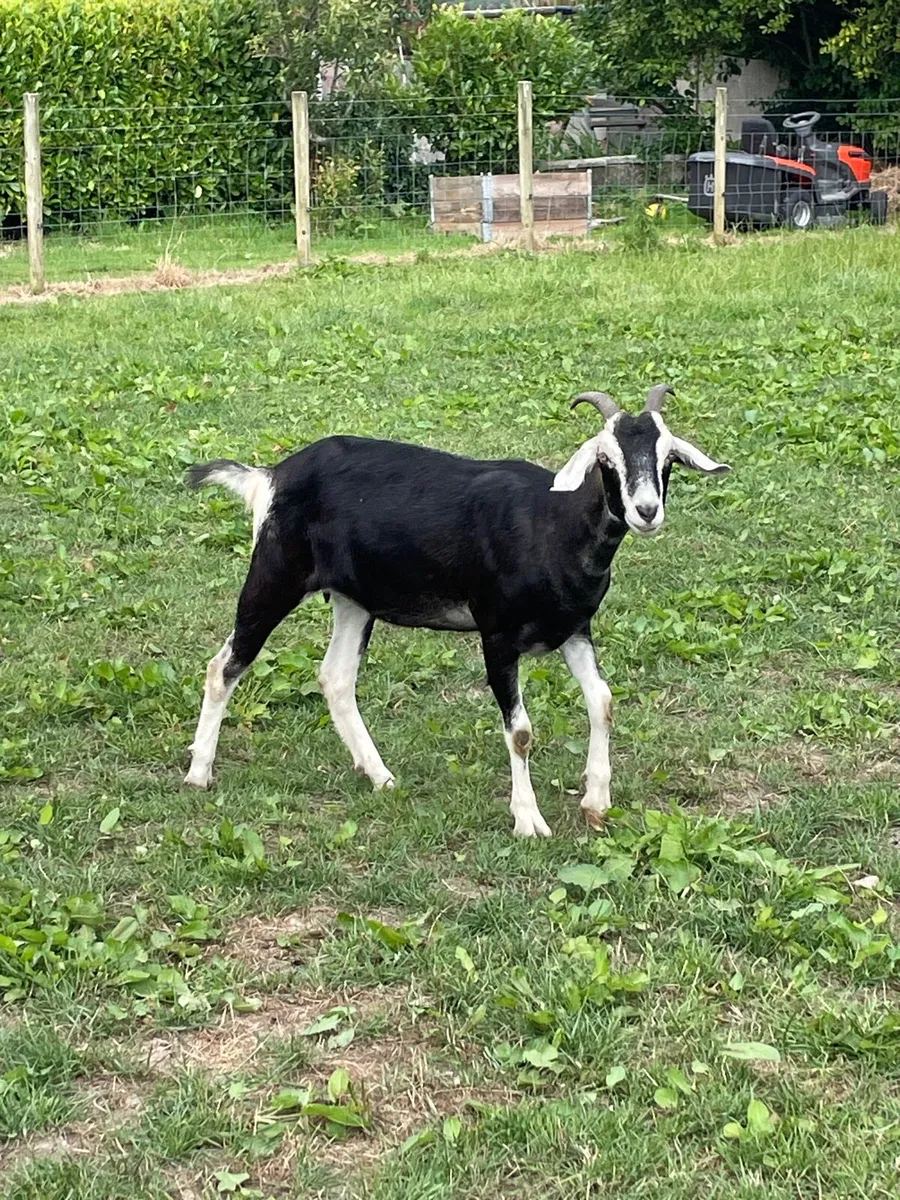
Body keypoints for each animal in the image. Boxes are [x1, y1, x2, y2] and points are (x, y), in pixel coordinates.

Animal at [183, 384, 729, 836]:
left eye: (668, 457)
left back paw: (380, 776)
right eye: (606, 458)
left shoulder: (574, 629)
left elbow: (603, 701)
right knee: (224, 665)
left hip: (355, 600)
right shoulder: (497, 635)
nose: (645, 511)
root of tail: (270, 475)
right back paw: (198, 773)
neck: (553, 524)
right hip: (275, 575)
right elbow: (521, 733)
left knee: (335, 678)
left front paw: (596, 802)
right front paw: (528, 821)